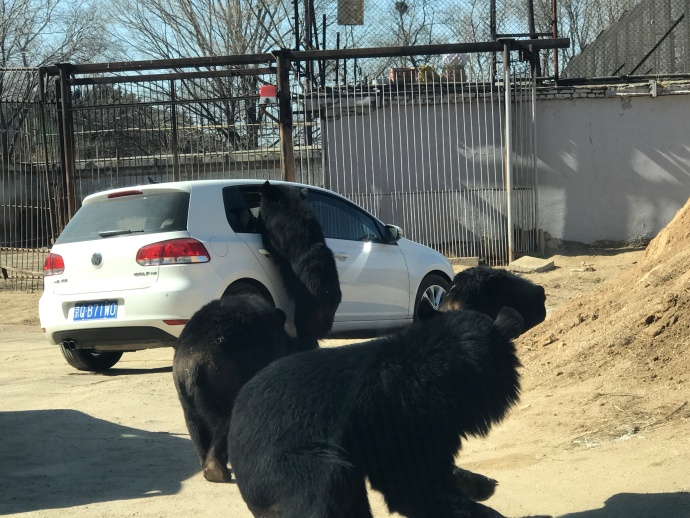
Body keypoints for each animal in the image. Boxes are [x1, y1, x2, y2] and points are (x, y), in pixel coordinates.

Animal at [172, 293, 312, 483]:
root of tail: (192, 363)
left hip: (184, 391)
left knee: (194, 424)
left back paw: (207, 464)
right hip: (222, 380)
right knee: (226, 419)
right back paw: (217, 470)